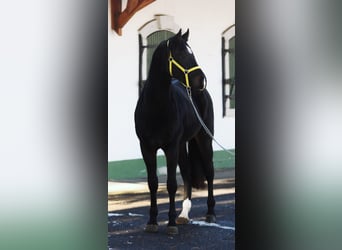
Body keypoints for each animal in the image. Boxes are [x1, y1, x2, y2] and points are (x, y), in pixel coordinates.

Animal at [135, 29, 215, 234]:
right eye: (181, 54)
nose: (201, 80)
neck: (156, 107)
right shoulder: (147, 148)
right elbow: (153, 183)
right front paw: (152, 222)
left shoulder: (170, 147)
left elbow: (171, 184)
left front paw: (170, 224)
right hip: (182, 145)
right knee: (186, 173)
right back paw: (183, 215)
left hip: (204, 138)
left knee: (209, 172)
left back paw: (210, 212)